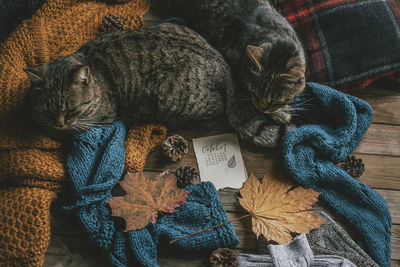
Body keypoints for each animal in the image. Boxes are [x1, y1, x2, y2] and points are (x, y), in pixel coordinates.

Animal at [23, 22, 230, 135]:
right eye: (47, 109)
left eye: (72, 110)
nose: (59, 124)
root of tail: (218, 59)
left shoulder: (101, 119)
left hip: (172, 99)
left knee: (219, 107)